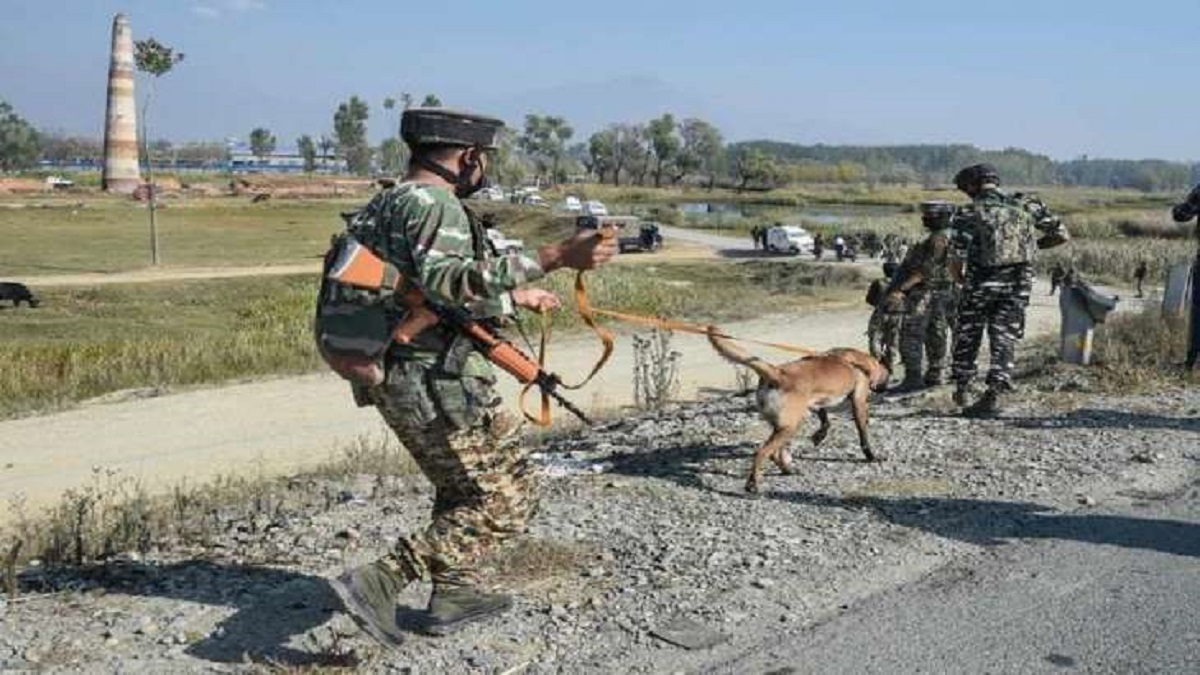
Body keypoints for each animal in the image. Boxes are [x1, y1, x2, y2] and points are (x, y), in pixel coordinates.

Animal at [700, 329, 892, 492]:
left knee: (774, 453)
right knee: (763, 452)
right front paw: (871, 456)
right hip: (791, 426)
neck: (859, 361)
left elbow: (825, 420)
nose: (884, 388)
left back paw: (787, 470)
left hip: (785, 425)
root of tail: (778, 374)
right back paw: (753, 483)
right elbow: (863, 434)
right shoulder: (858, 402)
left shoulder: (815, 403)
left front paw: (819, 435)